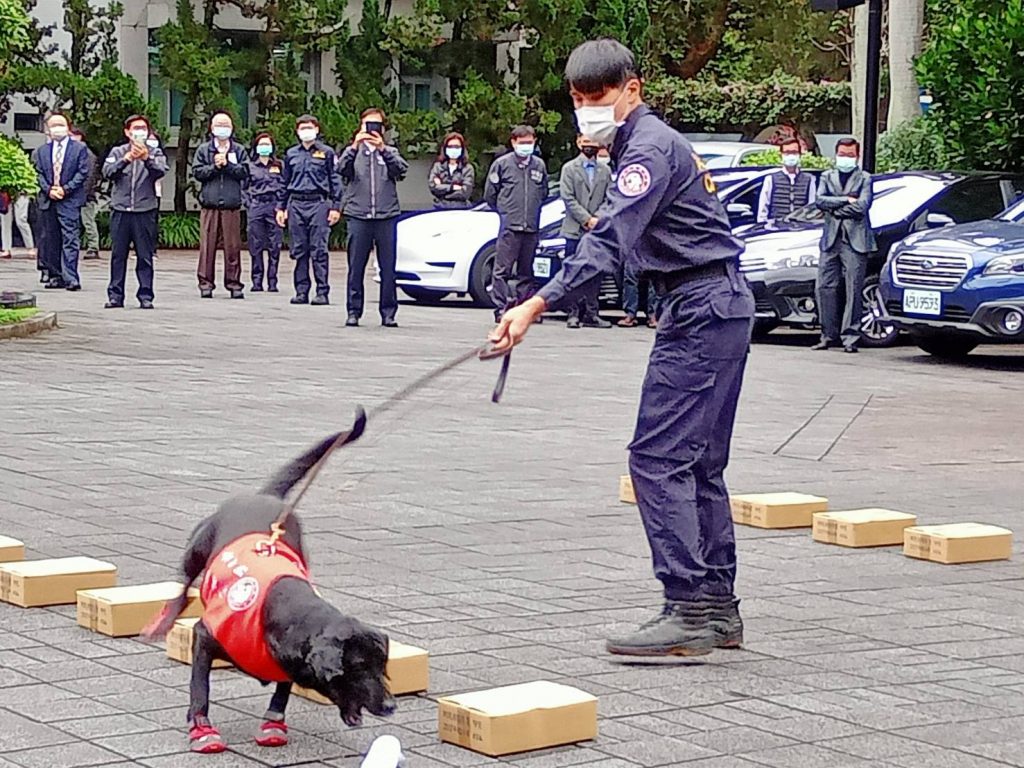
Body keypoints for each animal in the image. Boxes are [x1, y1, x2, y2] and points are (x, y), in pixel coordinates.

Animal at [142, 428, 396, 753]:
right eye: (359, 667)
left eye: (382, 665)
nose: (390, 705)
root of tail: (265, 496)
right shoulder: (204, 635)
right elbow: (200, 685)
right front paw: (202, 728)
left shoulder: (289, 661)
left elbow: (282, 690)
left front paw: (273, 723)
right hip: (198, 546)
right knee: (184, 582)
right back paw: (164, 619)